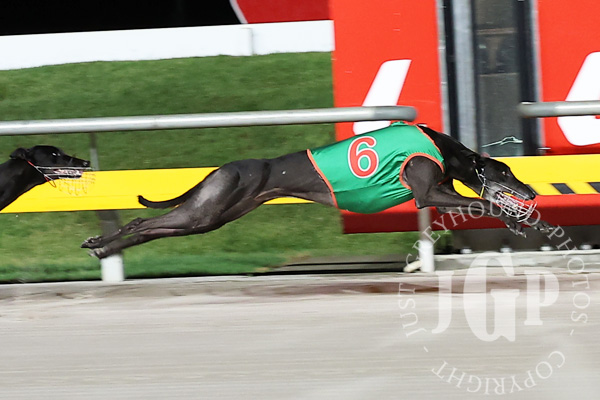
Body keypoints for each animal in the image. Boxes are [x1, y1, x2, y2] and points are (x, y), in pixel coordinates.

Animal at [82, 122, 553, 259]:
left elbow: (479, 203)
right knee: (142, 221)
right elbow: (481, 203)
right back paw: (100, 242)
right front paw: (515, 218)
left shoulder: (435, 191)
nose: (531, 192)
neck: (446, 148)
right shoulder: (426, 191)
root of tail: (222, 168)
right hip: (209, 208)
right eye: (507, 172)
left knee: (153, 227)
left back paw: (104, 247)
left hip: (213, 215)